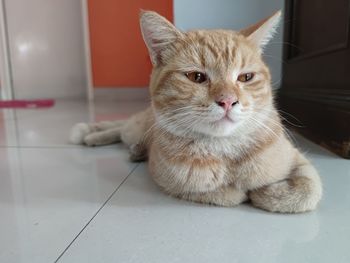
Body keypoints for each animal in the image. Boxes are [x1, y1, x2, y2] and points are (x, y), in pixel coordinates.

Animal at [70, 10, 322, 214]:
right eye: (196, 77)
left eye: (245, 77)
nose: (228, 101)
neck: (224, 150)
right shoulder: (168, 179)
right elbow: (225, 194)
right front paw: (246, 193)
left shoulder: (296, 158)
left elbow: (309, 189)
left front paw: (270, 193)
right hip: (137, 127)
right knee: (121, 126)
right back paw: (89, 134)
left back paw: (134, 149)